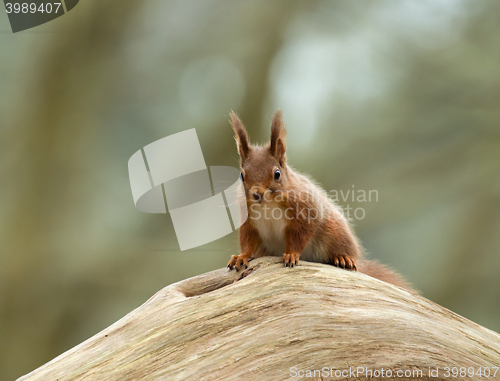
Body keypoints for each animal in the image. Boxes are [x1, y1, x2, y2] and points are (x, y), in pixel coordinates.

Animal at [229, 110, 412, 290]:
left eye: (277, 174)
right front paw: (241, 256)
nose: (257, 194)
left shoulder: (306, 209)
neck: (268, 205)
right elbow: (247, 240)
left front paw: (291, 254)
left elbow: (300, 234)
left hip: (334, 231)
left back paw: (343, 257)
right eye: (242, 176)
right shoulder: (248, 220)